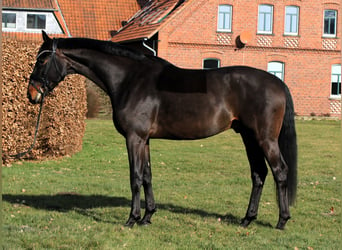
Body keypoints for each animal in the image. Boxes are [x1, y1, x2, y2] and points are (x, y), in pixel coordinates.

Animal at [27, 31, 296, 230]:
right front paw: (148, 216)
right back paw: (247, 219)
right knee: (259, 174)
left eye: (41, 60)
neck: (129, 79)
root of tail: (277, 82)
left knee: (280, 171)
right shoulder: (144, 139)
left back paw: (282, 221)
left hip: (264, 138)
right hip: (249, 137)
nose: (32, 94)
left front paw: (132, 219)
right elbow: (147, 176)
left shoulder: (134, 138)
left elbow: (135, 176)